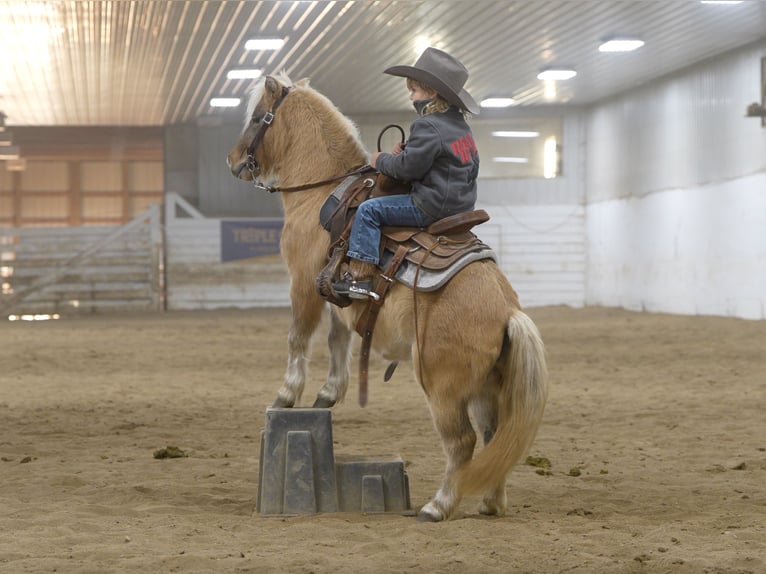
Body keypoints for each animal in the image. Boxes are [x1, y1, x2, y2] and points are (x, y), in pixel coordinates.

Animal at [225, 73, 548, 520]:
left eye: (258, 117)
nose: (233, 160)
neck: (324, 190)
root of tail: (509, 312)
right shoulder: (332, 291)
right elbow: (336, 339)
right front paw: (328, 394)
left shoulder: (302, 282)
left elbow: (298, 336)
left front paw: (287, 394)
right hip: (485, 386)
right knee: (492, 437)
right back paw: (489, 503)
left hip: (443, 387)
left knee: (462, 442)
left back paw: (438, 505)